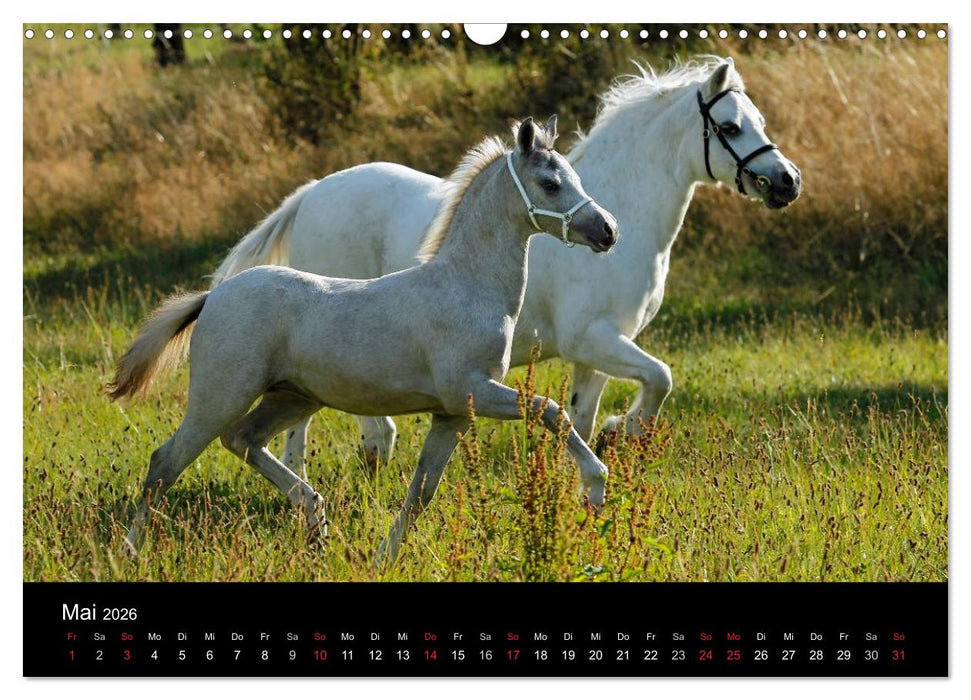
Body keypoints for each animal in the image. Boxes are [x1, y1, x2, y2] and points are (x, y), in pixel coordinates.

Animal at [109, 117, 619, 562]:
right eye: (550, 183)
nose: (608, 230)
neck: (466, 286)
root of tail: (214, 296)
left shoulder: (451, 415)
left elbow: (421, 493)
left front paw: (383, 558)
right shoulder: (471, 390)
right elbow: (551, 411)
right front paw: (595, 486)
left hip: (292, 398)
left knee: (243, 440)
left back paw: (315, 514)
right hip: (220, 395)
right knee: (165, 463)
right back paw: (131, 552)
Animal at [211, 57, 802, 478]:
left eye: (758, 122)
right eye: (731, 127)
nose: (788, 182)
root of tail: (312, 194)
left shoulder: (596, 353)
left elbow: (582, 414)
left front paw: (588, 466)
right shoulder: (595, 338)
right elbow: (661, 377)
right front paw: (624, 432)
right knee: (331, 429)